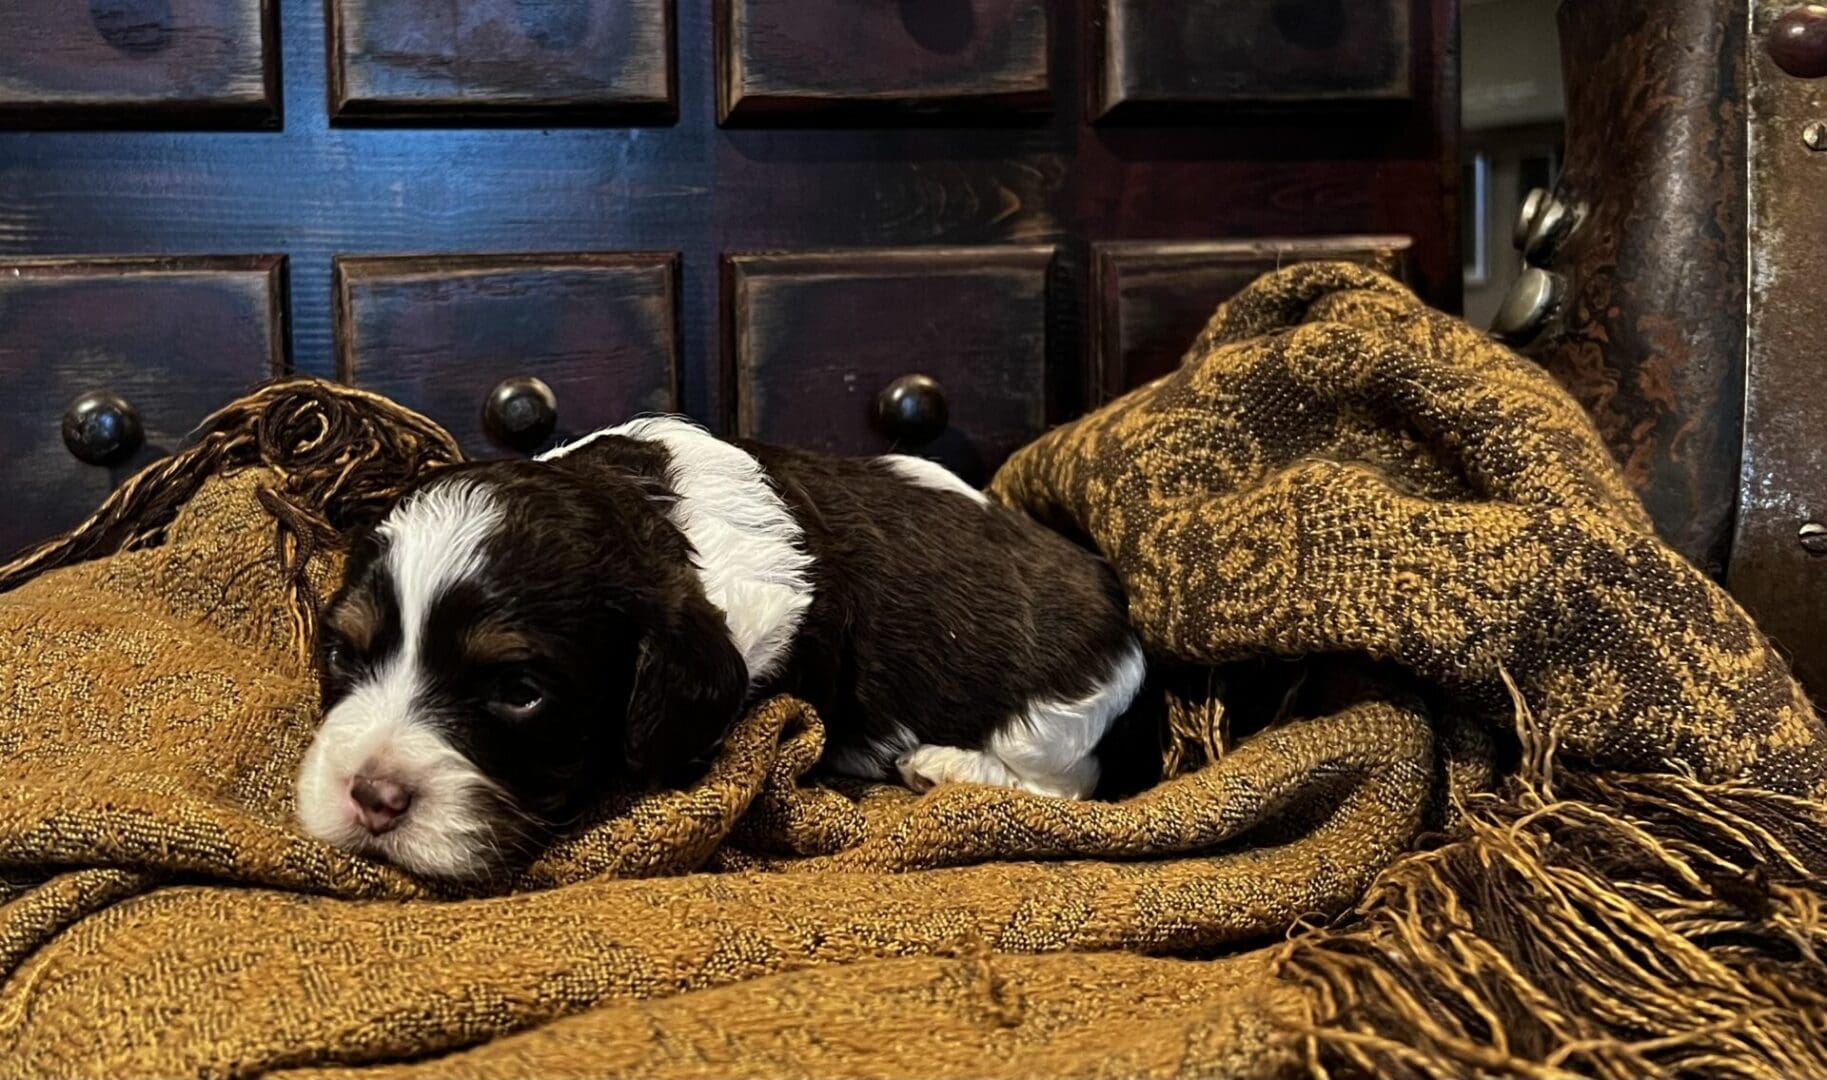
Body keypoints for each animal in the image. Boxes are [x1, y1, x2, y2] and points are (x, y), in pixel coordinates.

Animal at [295, 418, 1140, 884]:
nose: (371, 797)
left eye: (517, 692)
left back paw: (942, 766)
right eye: (344, 652)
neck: (660, 522)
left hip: (1049, 721)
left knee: (1073, 782)